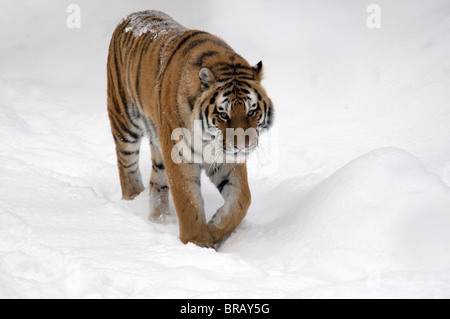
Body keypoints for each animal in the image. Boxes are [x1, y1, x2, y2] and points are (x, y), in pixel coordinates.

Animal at [108, 10, 274, 250]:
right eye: (224, 114)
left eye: (251, 111)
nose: (242, 146)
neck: (207, 140)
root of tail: (133, 14)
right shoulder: (179, 156)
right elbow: (188, 202)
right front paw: (197, 243)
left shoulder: (225, 158)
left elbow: (242, 198)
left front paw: (215, 228)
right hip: (124, 121)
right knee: (126, 165)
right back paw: (132, 201)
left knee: (157, 181)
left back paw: (160, 219)